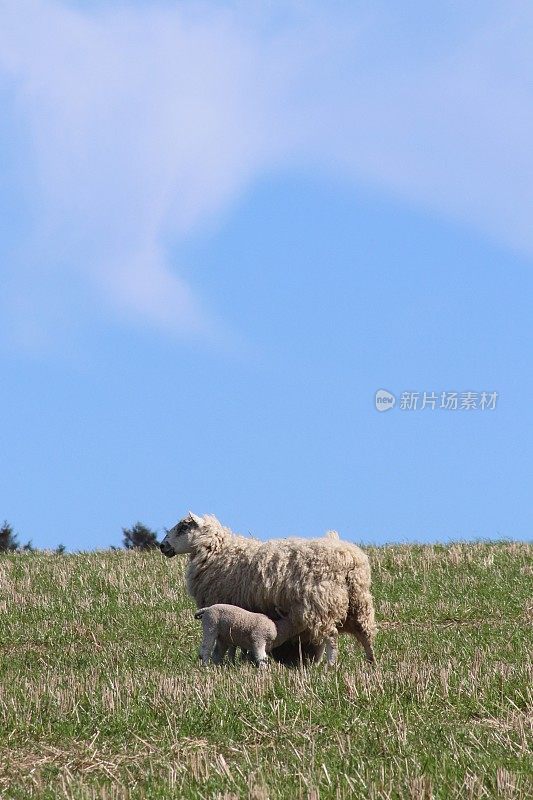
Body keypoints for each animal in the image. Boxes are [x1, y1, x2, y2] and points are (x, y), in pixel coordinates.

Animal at [158, 512, 374, 664]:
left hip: (322, 603)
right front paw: (240, 660)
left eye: (183, 527)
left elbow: (228, 643)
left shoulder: (225, 602)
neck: (218, 552)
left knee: (331, 637)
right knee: (365, 635)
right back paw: (371, 663)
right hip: (358, 604)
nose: (162, 546)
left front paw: (230, 661)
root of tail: (350, 559)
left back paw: (330, 666)